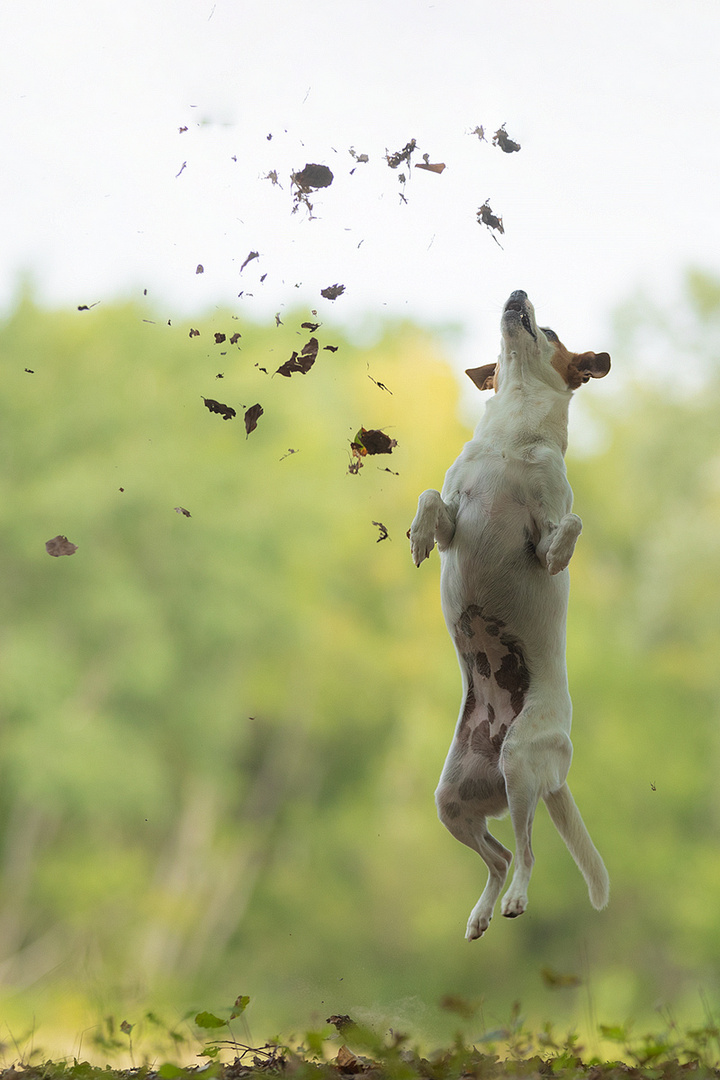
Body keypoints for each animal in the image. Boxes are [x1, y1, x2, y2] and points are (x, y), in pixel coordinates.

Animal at [410, 291, 608, 941]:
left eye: (550, 331)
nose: (518, 293)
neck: (511, 434)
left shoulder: (543, 533)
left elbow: (568, 526)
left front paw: (567, 551)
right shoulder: (456, 513)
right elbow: (430, 498)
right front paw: (417, 536)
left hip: (520, 764)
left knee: (525, 851)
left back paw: (516, 899)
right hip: (453, 801)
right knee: (496, 857)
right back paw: (480, 913)